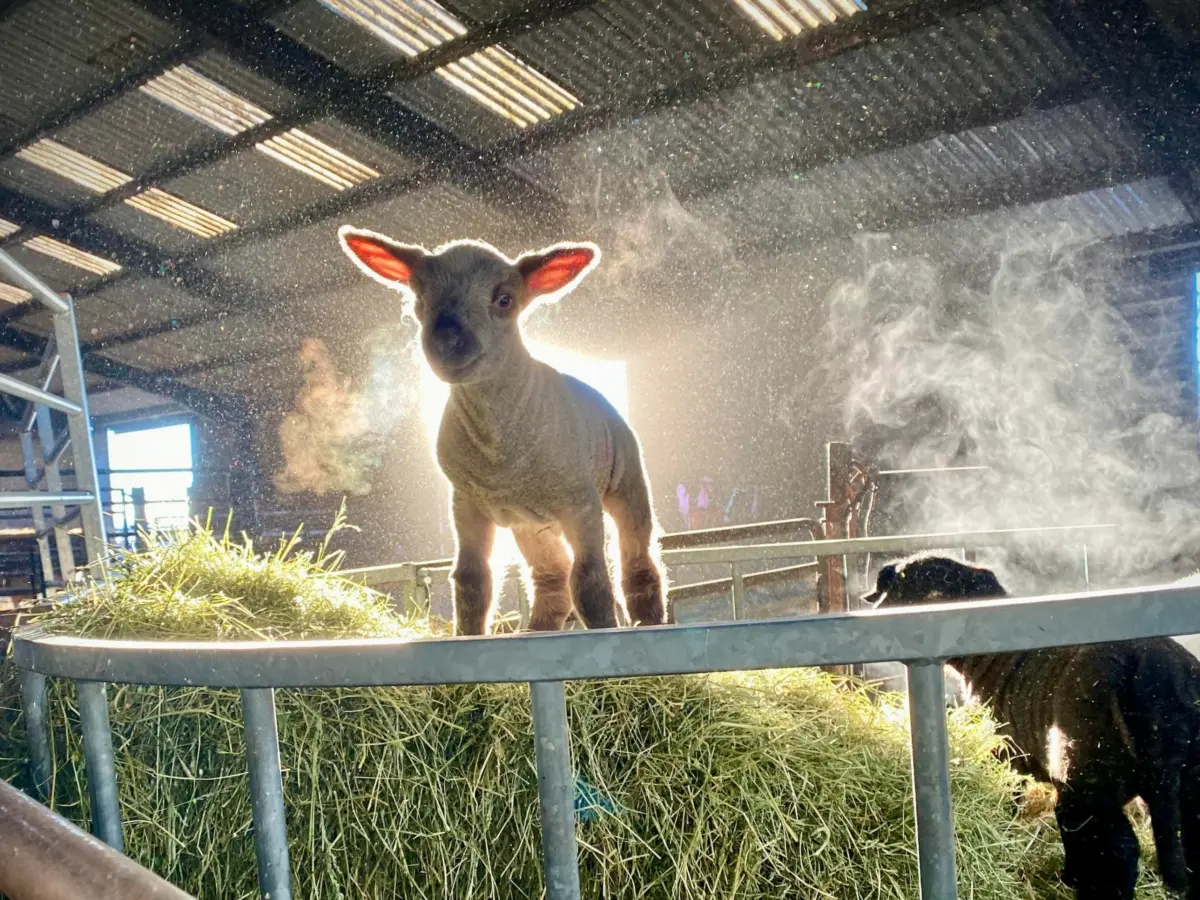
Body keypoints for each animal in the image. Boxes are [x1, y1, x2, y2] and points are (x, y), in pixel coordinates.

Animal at [338, 227, 666, 636]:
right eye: (420, 298)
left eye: (504, 300)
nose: (447, 341)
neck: (501, 457)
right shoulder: (466, 504)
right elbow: (471, 579)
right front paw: (468, 635)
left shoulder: (581, 503)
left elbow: (591, 582)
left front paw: (607, 634)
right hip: (531, 524)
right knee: (552, 574)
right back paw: (536, 629)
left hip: (626, 485)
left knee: (638, 565)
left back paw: (649, 622)